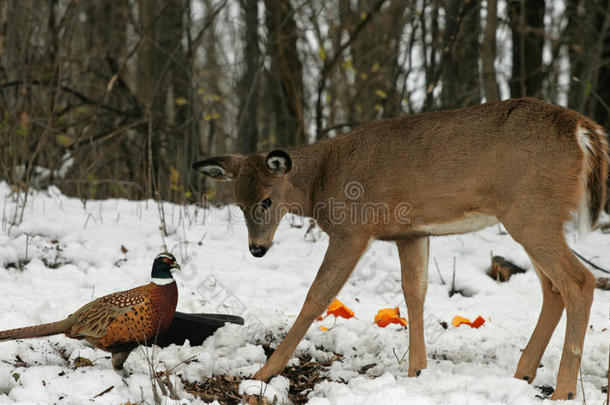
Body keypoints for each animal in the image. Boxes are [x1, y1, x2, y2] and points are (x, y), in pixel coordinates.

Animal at [192, 98, 604, 398]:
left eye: (266, 200)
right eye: (238, 203)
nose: (257, 249)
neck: (321, 179)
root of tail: (584, 130)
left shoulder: (353, 229)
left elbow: (317, 295)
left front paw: (265, 371)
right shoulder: (411, 233)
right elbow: (414, 293)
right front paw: (416, 371)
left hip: (532, 213)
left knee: (580, 280)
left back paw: (563, 391)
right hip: (530, 217)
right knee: (553, 288)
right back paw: (523, 374)